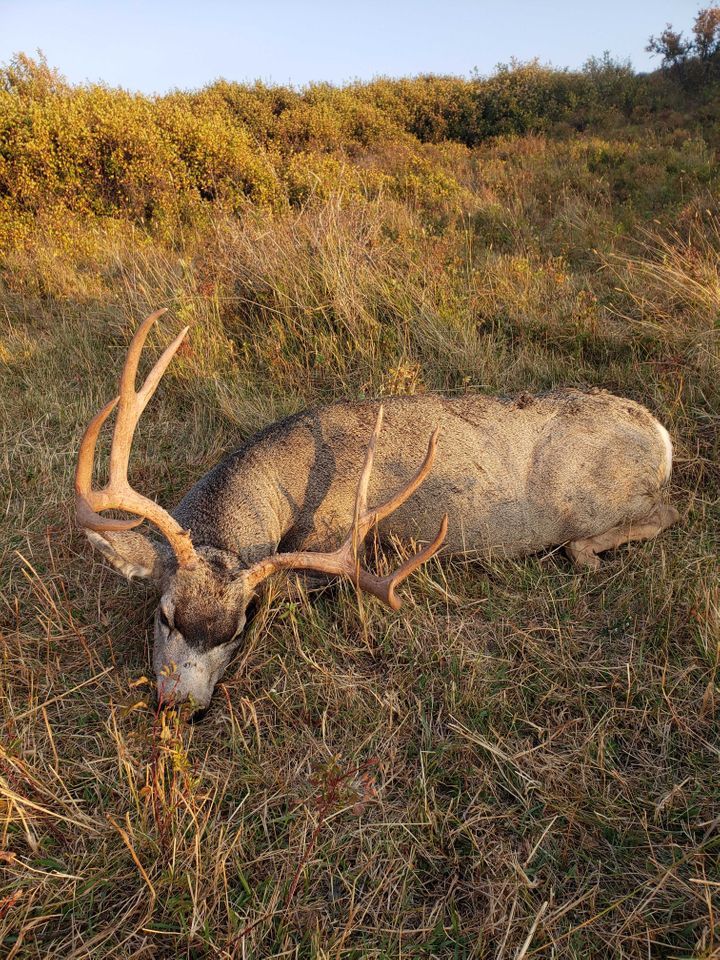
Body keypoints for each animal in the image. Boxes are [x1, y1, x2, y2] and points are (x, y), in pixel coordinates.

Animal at [75, 310, 679, 712]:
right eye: (164, 616)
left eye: (239, 629)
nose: (180, 706)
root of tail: (660, 433)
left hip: (597, 503)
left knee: (658, 516)